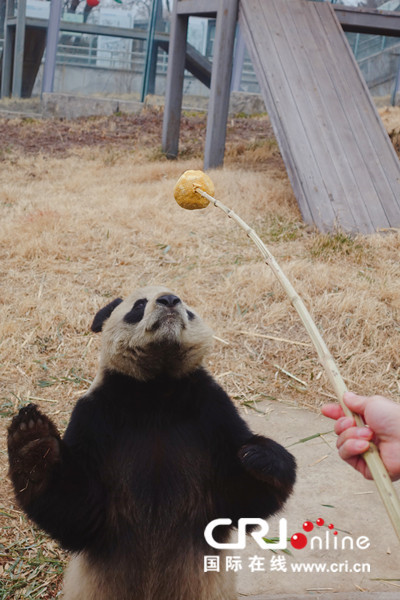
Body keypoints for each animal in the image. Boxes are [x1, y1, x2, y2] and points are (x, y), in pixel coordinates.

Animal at [7, 286, 296, 600]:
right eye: (139, 305)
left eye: (187, 307)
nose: (169, 300)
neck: (156, 390)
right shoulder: (97, 415)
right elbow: (78, 512)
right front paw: (34, 444)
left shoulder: (212, 409)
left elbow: (240, 499)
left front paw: (260, 457)